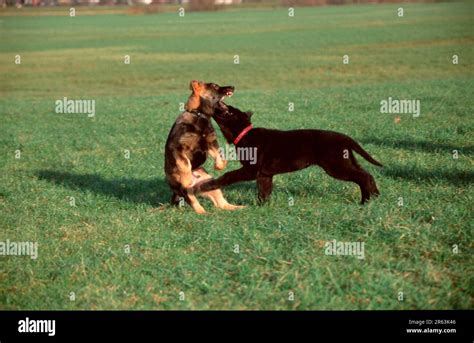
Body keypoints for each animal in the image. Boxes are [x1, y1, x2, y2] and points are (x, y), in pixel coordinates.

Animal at [165, 81, 243, 214]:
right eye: (215, 86)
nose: (232, 87)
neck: (200, 115)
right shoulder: (177, 147)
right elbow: (185, 163)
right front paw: (186, 178)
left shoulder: (211, 143)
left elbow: (221, 158)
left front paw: (218, 166)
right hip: (185, 191)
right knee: (195, 202)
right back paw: (203, 213)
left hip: (211, 184)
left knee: (221, 204)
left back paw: (239, 207)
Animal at [194, 105, 384, 204]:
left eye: (228, 111)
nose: (216, 105)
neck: (245, 135)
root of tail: (345, 138)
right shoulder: (264, 175)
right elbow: (264, 192)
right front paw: (261, 207)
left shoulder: (251, 170)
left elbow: (228, 176)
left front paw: (204, 186)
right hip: (346, 162)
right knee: (367, 175)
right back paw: (374, 197)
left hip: (337, 166)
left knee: (363, 177)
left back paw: (366, 201)